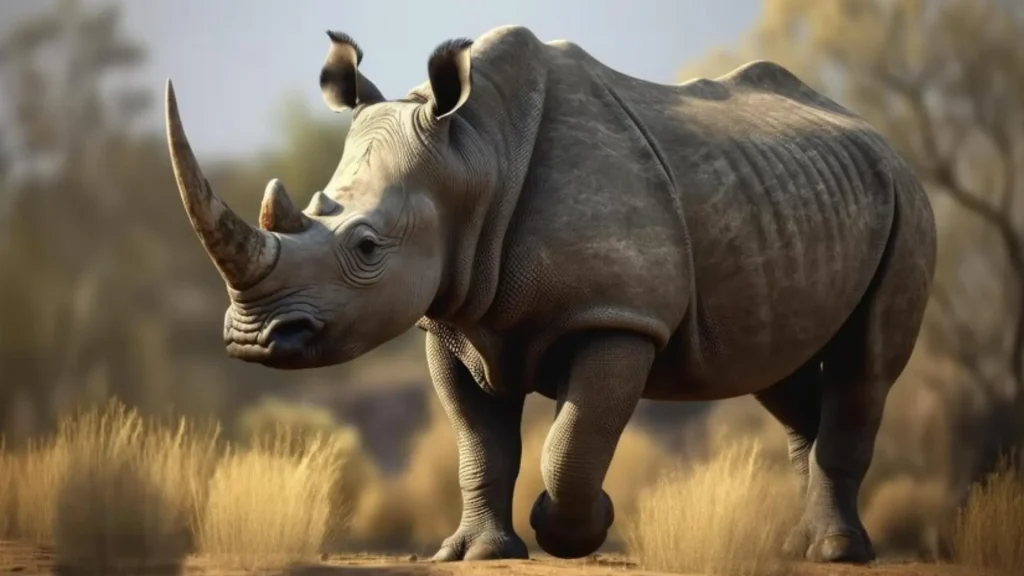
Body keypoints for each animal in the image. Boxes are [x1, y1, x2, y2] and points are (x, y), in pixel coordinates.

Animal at [164, 25, 936, 564]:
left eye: (366, 248)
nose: (251, 338)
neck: (474, 154)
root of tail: (880, 138)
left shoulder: (618, 316)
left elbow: (569, 442)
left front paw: (571, 533)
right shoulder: (450, 317)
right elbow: (480, 444)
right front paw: (473, 553)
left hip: (907, 199)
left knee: (864, 367)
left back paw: (837, 552)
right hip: (797, 200)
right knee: (778, 370)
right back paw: (802, 547)